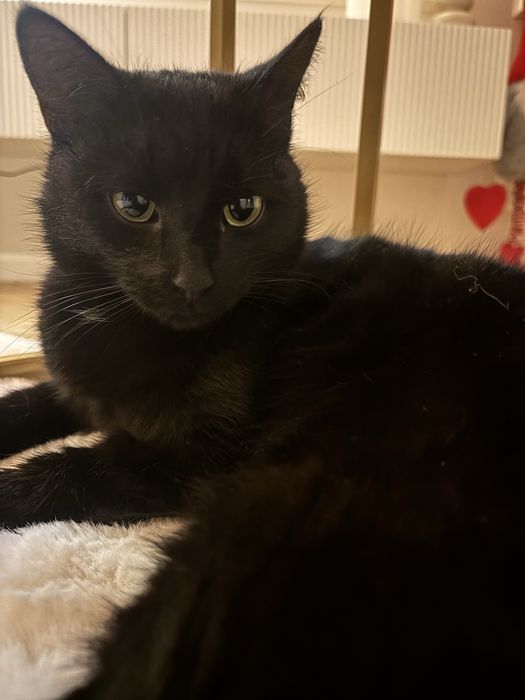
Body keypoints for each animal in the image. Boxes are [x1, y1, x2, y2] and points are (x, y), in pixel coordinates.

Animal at [2, 5, 525, 697]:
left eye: (242, 209)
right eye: (133, 205)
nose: (193, 280)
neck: (133, 335)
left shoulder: (197, 456)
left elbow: (69, 467)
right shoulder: (78, 390)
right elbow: (30, 401)